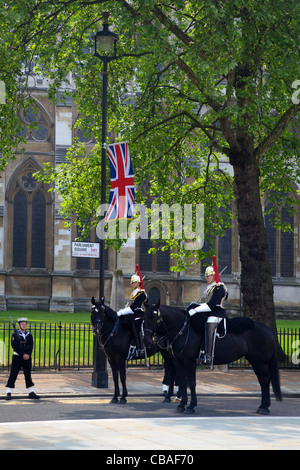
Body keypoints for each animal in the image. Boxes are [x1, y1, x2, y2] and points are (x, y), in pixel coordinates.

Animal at [144, 302, 282, 414]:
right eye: (143, 318)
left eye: (154, 317)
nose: (148, 342)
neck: (182, 330)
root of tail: (267, 329)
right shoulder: (178, 361)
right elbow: (182, 382)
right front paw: (182, 405)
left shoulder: (189, 361)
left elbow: (191, 382)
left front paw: (191, 406)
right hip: (254, 360)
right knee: (262, 380)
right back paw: (263, 406)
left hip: (261, 361)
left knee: (265, 379)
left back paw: (264, 407)